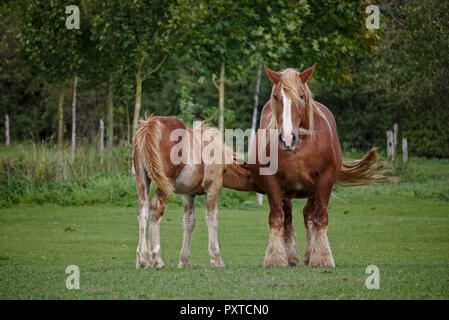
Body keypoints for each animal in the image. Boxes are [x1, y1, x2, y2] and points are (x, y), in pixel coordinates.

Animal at [248, 64, 388, 268]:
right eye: (276, 96)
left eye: (301, 96)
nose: (287, 138)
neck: (300, 146)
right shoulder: (272, 180)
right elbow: (277, 217)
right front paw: (275, 258)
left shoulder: (325, 180)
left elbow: (320, 217)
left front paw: (322, 257)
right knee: (288, 215)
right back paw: (291, 254)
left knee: (309, 214)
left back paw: (309, 254)